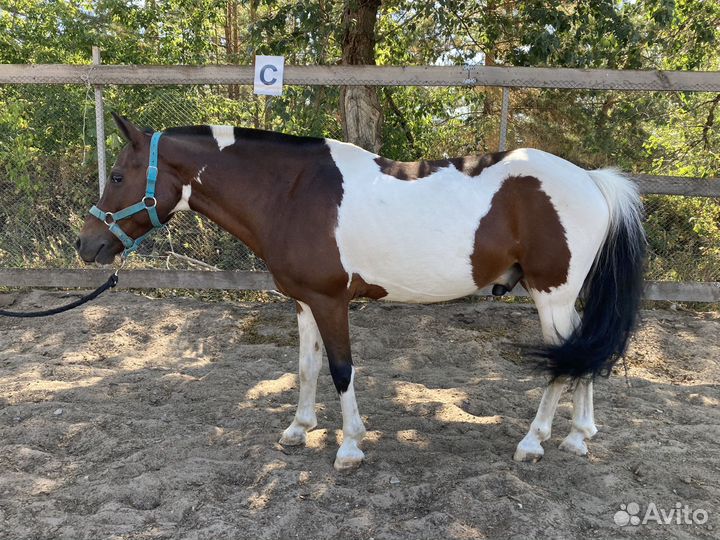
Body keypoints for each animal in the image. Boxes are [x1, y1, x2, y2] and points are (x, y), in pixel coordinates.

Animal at [77, 113, 646, 470]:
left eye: (120, 176)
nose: (87, 245)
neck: (292, 192)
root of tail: (591, 180)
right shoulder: (304, 300)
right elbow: (306, 367)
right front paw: (298, 429)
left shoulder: (332, 301)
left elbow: (340, 368)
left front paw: (348, 447)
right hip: (560, 299)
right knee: (582, 355)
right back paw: (578, 436)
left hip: (552, 295)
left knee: (563, 361)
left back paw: (534, 442)